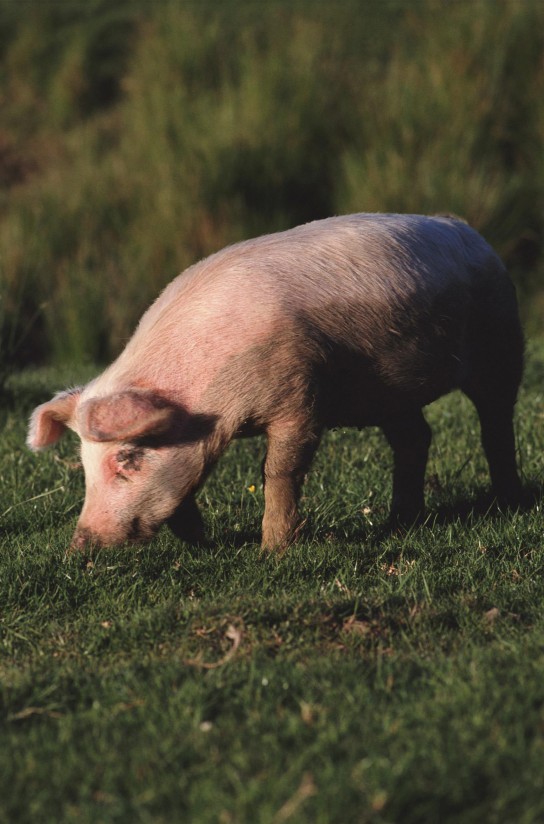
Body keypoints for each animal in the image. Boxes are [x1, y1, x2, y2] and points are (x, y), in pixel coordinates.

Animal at [27, 212, 524, 552]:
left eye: (127, 458)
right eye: (84, 465)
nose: (81, 544)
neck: (212, 407)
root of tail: (469, 231)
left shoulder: (299, 394)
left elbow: (279, 469)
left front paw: (273, 551)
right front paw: (202, 544)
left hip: (501, 343)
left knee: (496, 424)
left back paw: (509, 505)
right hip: (388, 392)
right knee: (416, 438)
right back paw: (398, 523)